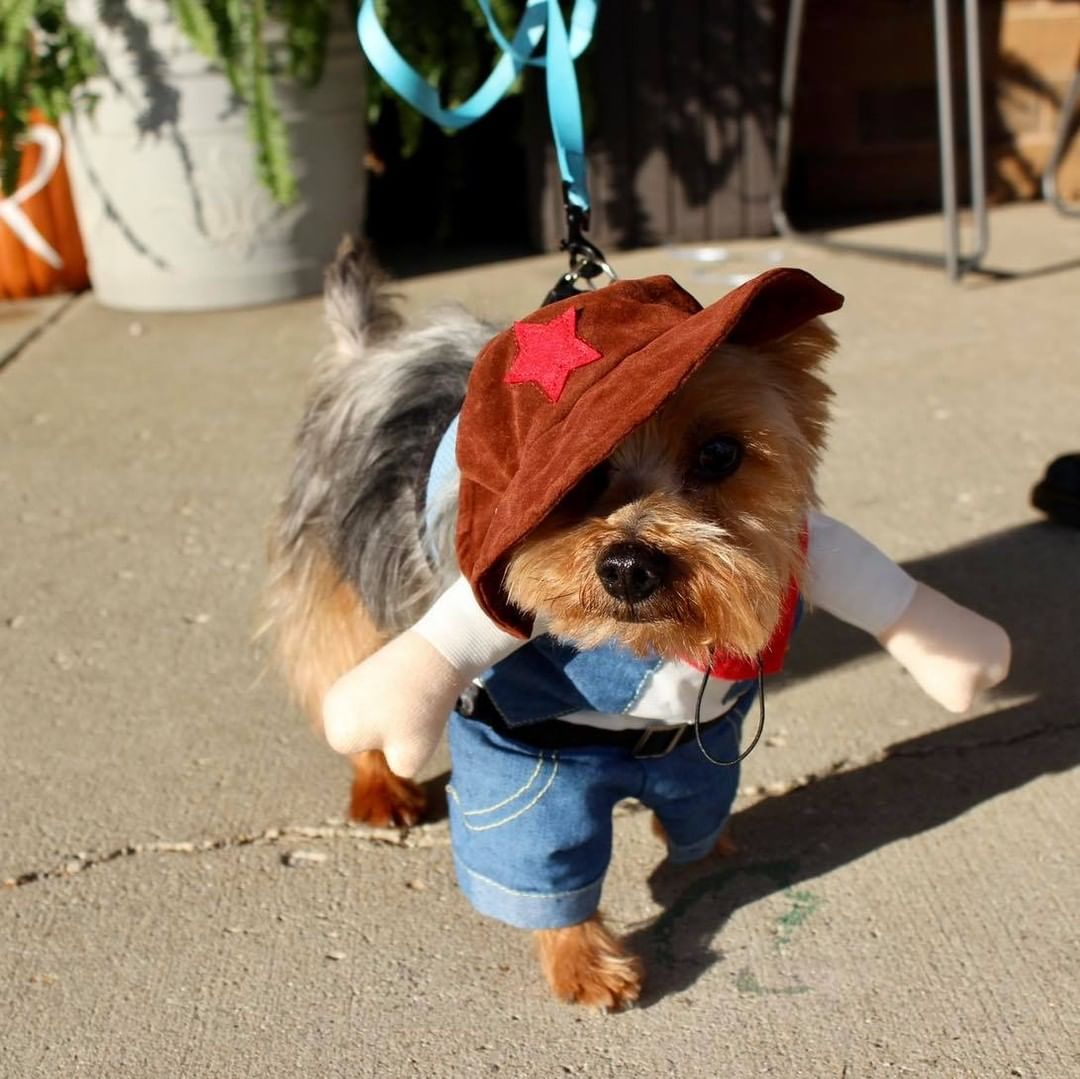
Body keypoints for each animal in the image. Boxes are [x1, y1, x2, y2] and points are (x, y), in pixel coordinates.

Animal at [265, 240, 1006, 1006]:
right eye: (574, 476)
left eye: (720, 454)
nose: (628, 566)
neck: (644, 645)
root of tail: (373, 348)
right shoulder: (519, 750)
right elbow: (538, 856)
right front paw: (585, 962)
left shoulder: (703, 739)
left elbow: (697, 797)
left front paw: (702, 845)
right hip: (344, 575)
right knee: (340, 667)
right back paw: (380, 784)